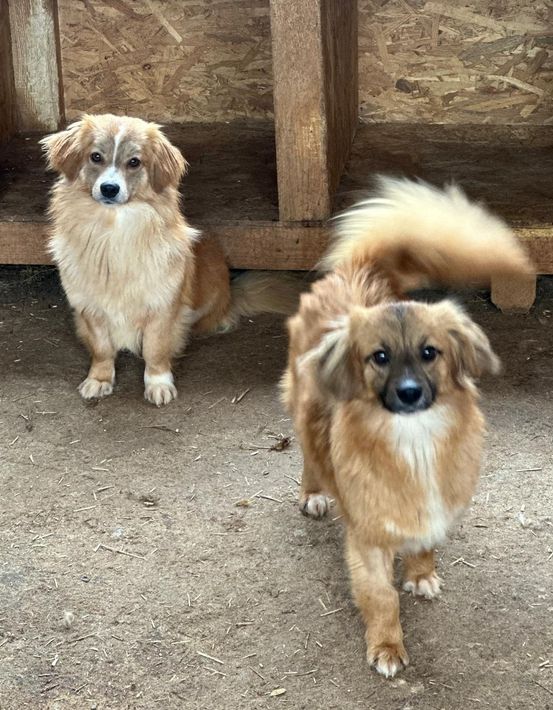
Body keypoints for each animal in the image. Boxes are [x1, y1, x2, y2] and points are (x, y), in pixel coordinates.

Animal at [41, 114, 298, 405]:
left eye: (134, 162)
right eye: (95, 157)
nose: (109, 189)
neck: (113, 229)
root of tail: (232, 293)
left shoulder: (163, 308)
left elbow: (155, 350)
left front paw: (158, 384)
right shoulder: (91, 310)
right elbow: (102, 350)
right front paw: (99, 379)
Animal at [281, 177, 533, 677]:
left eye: (429, 352)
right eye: (379, 357)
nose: (411, 392)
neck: (414, 440)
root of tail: (357, 269)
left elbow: (424, 545)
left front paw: (420, 574)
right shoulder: (368, 538)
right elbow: (381, 597)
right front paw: (386, 646)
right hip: (302, 409)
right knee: (308, 453)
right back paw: (313, 492)